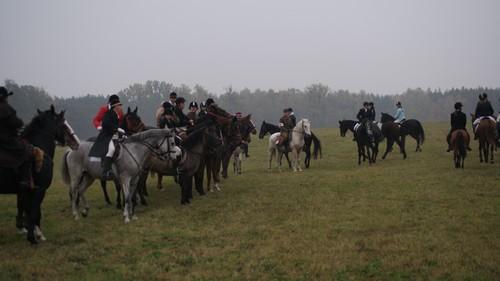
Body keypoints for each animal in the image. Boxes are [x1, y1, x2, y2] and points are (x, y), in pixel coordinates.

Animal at [0, 105, 79, 243]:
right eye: (63, 124)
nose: (76, 142)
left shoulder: (25, 192)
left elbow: (26, 209)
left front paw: (29, 230)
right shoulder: (39, 190)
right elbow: (34, 212)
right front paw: (34, 237)